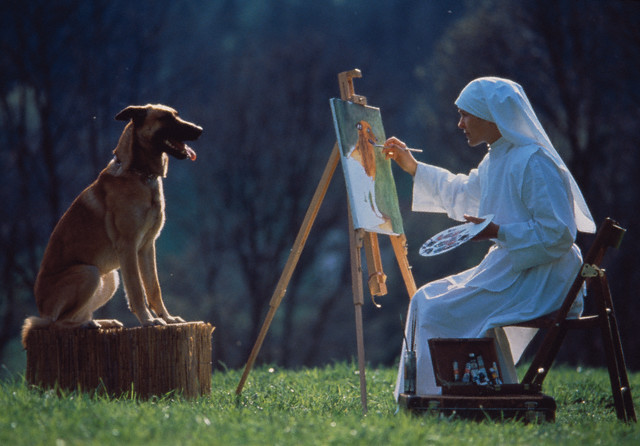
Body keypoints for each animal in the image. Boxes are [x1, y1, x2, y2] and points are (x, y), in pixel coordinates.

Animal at [21, 104, 202, 348]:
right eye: (166, 118)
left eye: (177, 115)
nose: (200, 130)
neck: (141, 174)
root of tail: (42, 311)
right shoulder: (128, 248)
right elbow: (137, 289)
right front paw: (148, 321)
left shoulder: (147, 248)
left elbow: (153, 288)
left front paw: (167, 318)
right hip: (89, 272)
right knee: (58, 323)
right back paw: (87, 325)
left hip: (109, 277)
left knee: (76, 316)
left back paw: (100, 322)